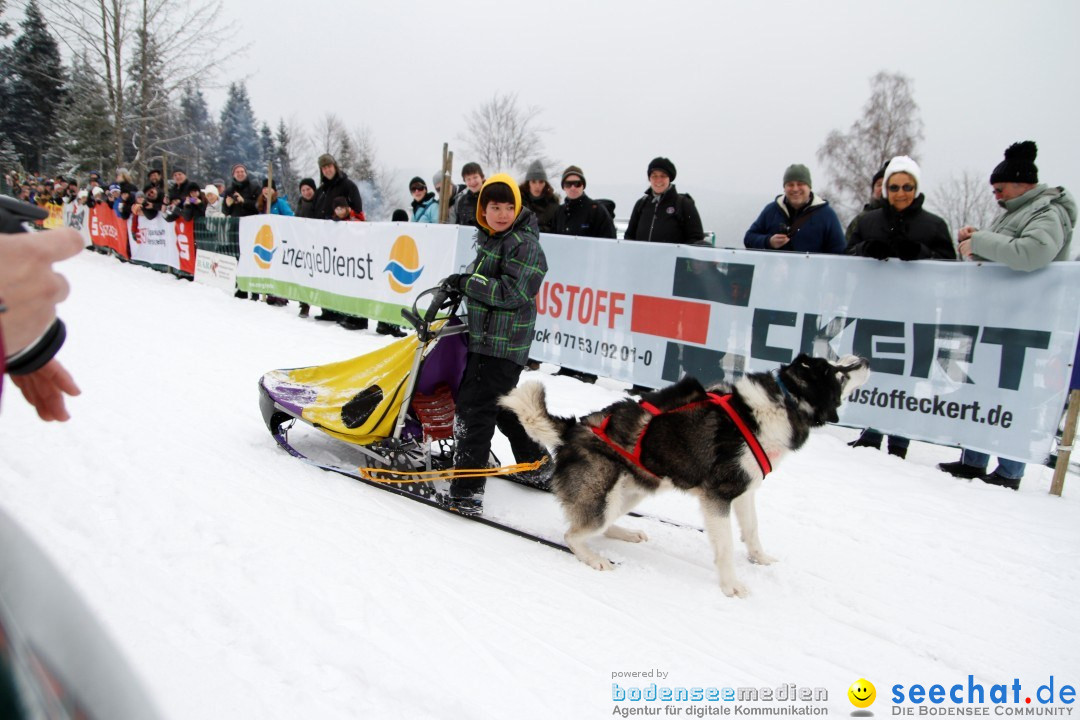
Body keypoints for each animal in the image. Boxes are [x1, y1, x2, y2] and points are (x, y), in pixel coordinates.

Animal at [496, 354, 868, 595]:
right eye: (837, 371)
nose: (864, 359)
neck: (780, 405)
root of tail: (574, 428)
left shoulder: (744, 489)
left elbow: (751, 530)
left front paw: (760, 558)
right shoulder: (718, 495)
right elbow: (726, 545)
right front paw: (731, 585)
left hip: (632, 491)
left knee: (597, 526)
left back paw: (625, 532)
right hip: (605, 492)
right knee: (574, 535)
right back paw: (594, 558)